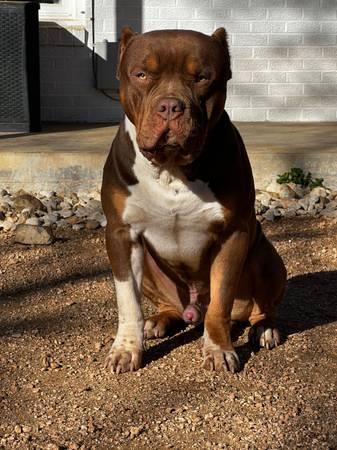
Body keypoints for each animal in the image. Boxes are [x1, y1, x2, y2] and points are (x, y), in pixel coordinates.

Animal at [100, 26, 286, 374]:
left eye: (201, 77)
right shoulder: (121, 234)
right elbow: (128, 301)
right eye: (141, 74)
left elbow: (220, 302)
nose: (170, 106)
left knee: (261, 306)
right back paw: (160, 319)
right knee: (164, 303)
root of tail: (191, 310)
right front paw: (127, 348)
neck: (172, 167)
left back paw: (264, 328)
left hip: (266, 258)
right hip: (150, 264)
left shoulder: (233, 235)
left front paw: (219, 349)